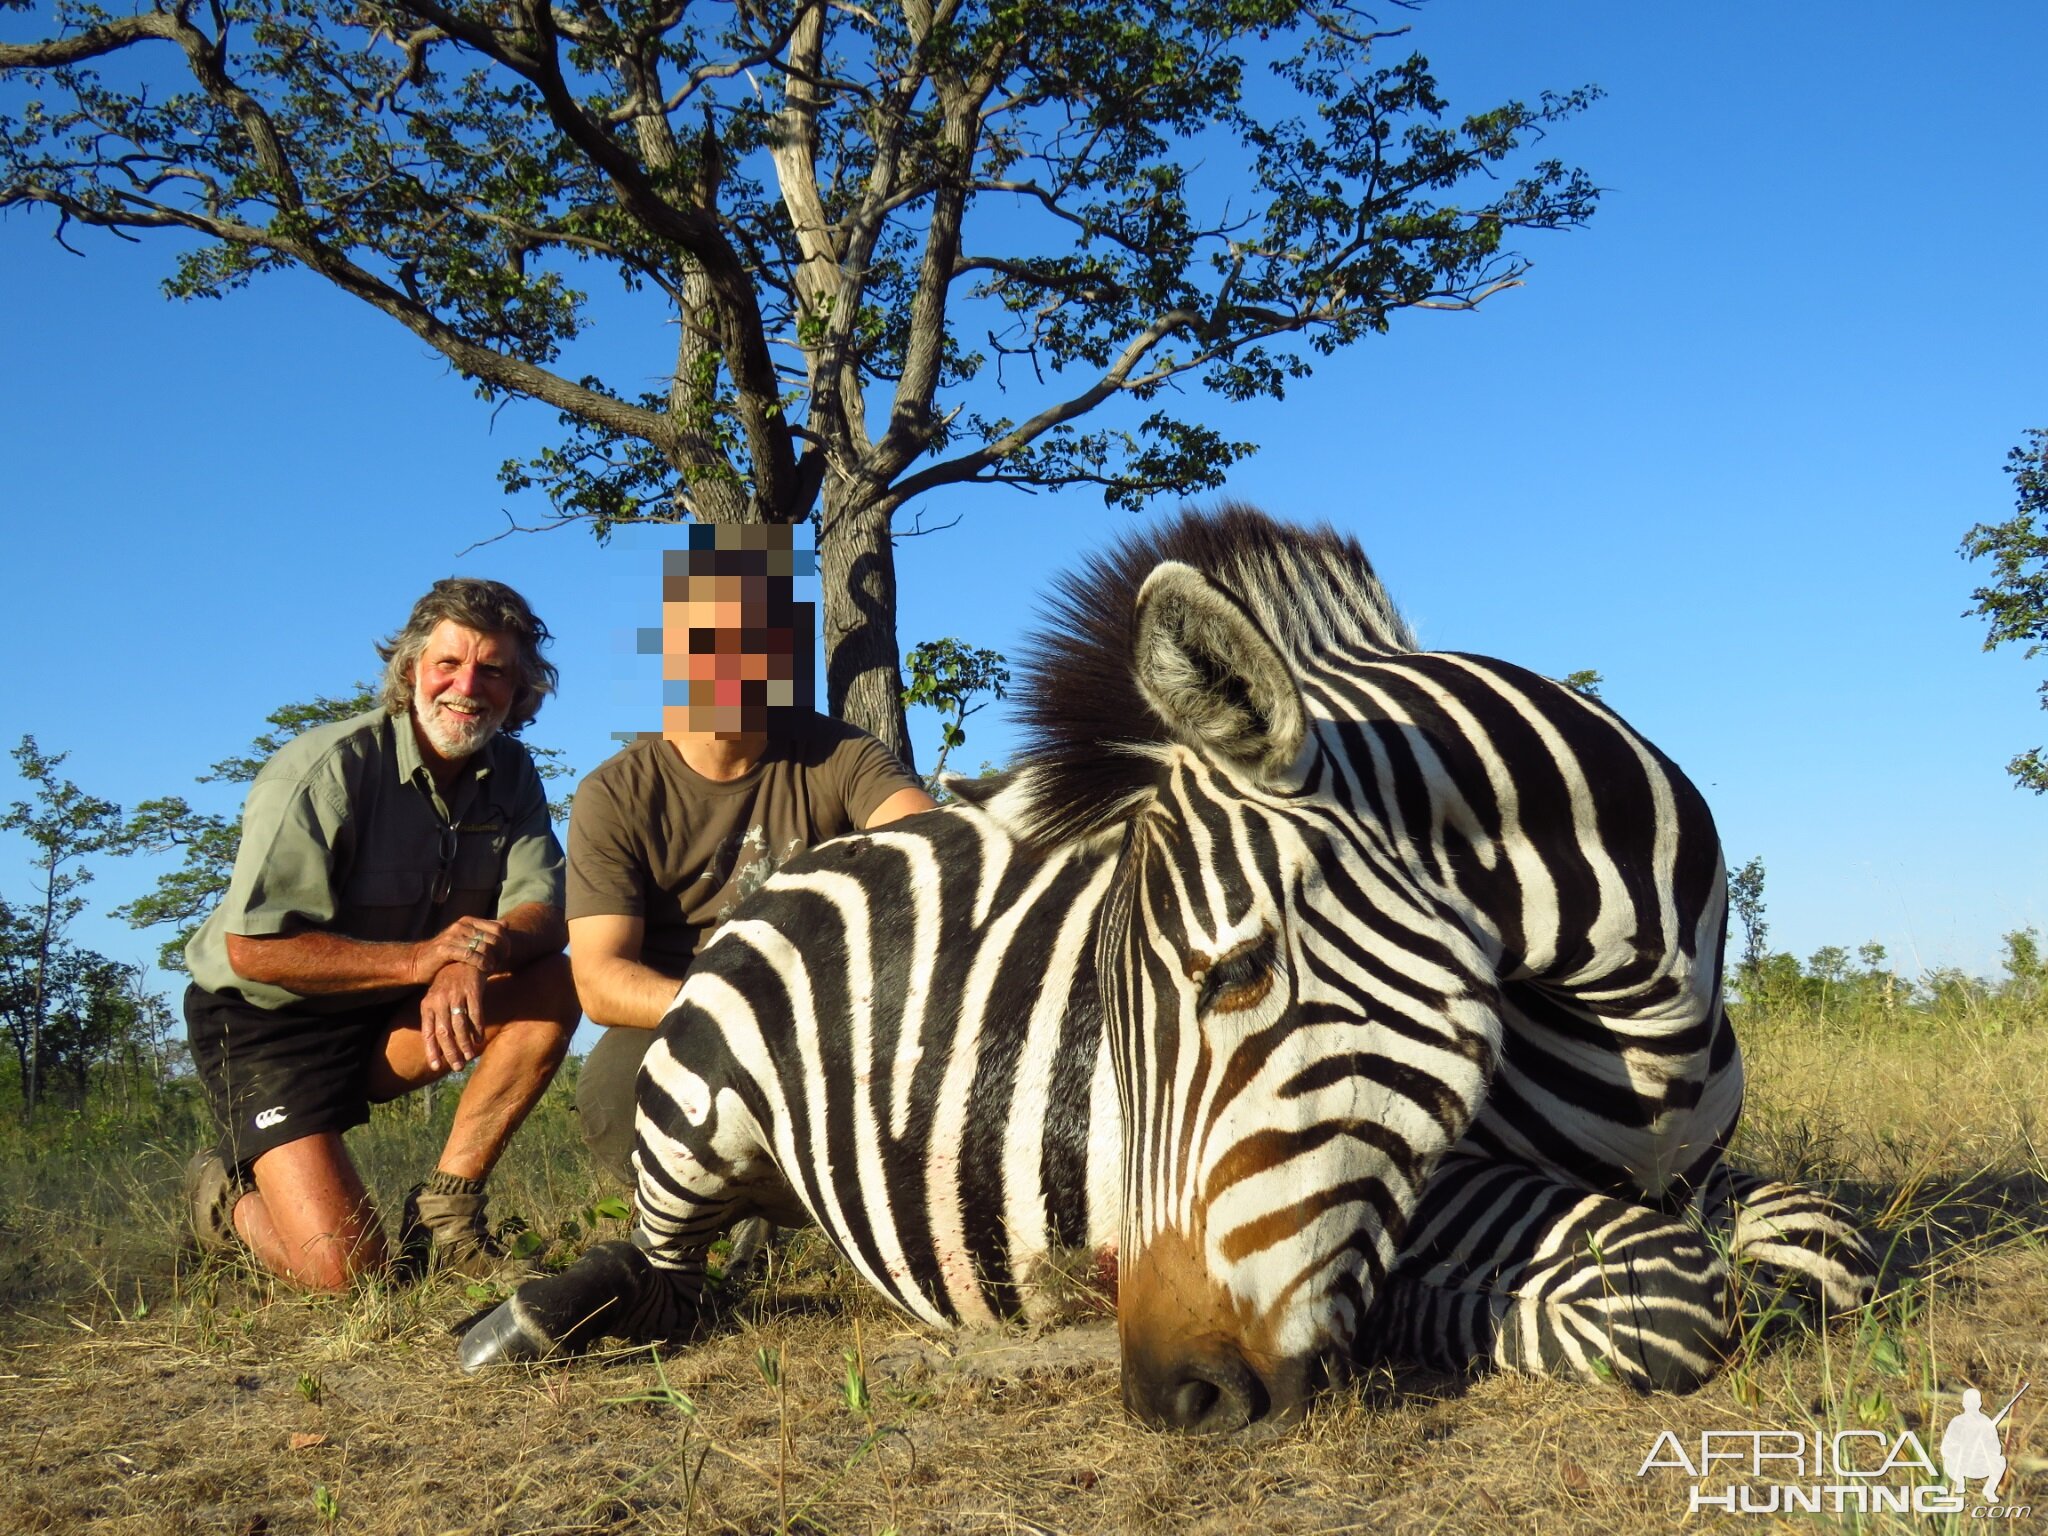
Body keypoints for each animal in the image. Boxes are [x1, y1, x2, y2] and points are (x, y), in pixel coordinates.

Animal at [464, 505, 1875, 1433]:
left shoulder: (1702, 1165)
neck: (1641, 1035)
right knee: (662, 1272)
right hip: (690, 1113)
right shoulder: (1439, 1186)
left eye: (1236, 972)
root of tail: (821, 852)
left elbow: (1818, 1242)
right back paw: (532, 1315)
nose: (1164, 1397)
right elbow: (1665, 1292)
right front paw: (1403, 1321)